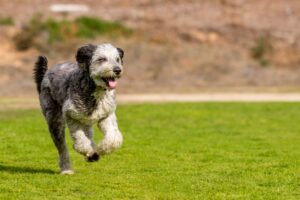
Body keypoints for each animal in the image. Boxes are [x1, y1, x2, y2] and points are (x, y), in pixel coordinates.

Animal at [34, 43, 124, 174]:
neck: (95, 91)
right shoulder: (71, 115)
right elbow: (80, 140)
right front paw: (88, 150)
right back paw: (67, 169)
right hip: (55, 121)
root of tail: (46, 73)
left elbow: (113, 139)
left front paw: (101, 149)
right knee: (62, 148)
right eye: (101, 59)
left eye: (117, 59)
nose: (117, 70)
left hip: (86, 123)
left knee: (89, 136)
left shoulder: (106, 116)